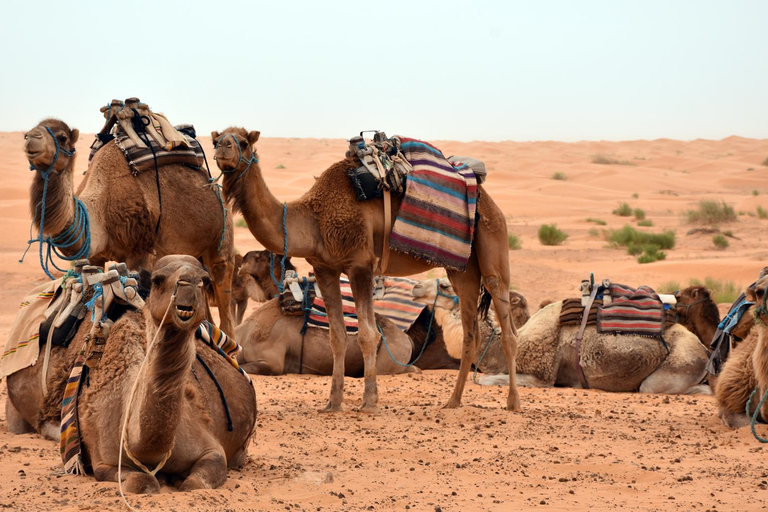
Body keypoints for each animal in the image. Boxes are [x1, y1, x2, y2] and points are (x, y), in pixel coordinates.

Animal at [24, 120, 236, 336]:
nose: (31, 138)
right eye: (32, 130)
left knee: (223, 290)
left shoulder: (140, 252)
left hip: (221, 239)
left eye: (62, 137)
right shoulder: (94, 255)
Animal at [79, 254, 258, 494]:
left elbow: (194, 484)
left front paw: (179, 480)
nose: (188, 282)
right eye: (157, 280)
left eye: (205, 280)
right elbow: (141, 481)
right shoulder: (103, 462)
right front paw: (158, 480)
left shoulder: (211, 450)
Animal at [213, 128, 520, 412]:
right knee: (471, 333)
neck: (313, 219)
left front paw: (369, 401)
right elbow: (337, 337)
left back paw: (513, 402)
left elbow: (367, 334)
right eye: (218, 139)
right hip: (462, 269)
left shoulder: (360, 264)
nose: (221, 148)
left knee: (506, 320)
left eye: (243, 142)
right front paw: (333, 403)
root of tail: (485, 197)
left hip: (493, 240)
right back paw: (453, 402)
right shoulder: (325, 268)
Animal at [424, 286, 712, 394]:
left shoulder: (542, 375)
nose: (417, 288)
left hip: (679, 364)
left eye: (444, 286)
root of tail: (705, 351)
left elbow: (484, 380)